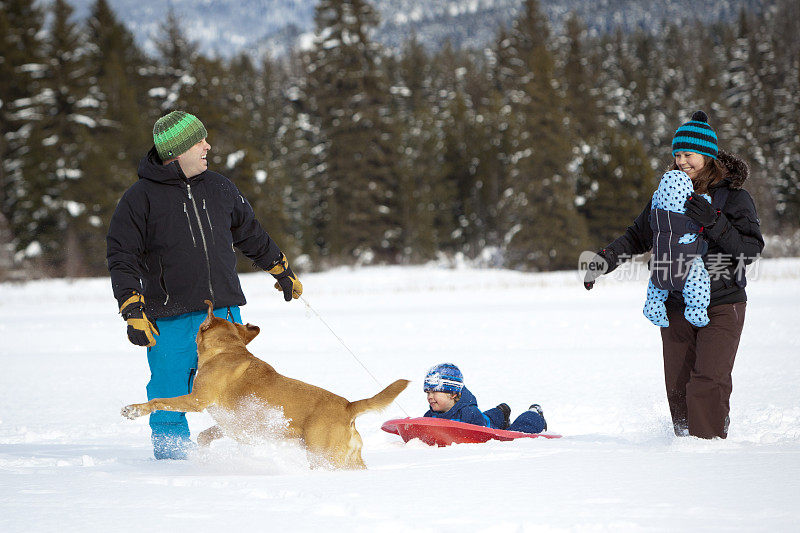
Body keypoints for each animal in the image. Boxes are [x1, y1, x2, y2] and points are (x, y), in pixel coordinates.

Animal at [122, 300, 410, 470]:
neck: (227, 349)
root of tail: (348, 406)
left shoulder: (196, 400)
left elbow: (159, 401)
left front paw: (133, 409)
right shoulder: (233, 422)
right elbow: (206, 435)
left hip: (323, 456)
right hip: (348, 459)